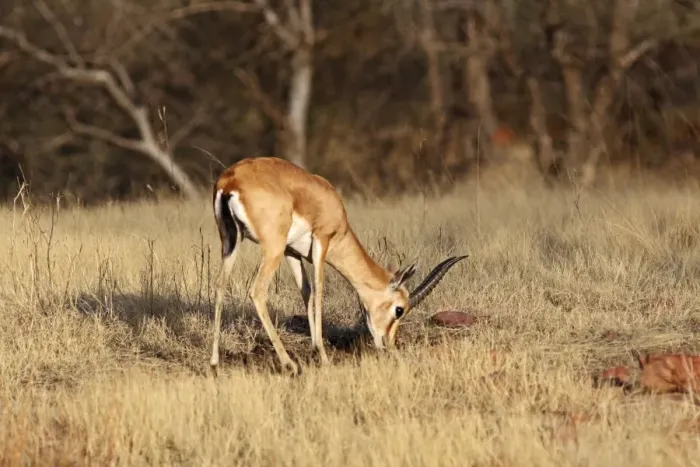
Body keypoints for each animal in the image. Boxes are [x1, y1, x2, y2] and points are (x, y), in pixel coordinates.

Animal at [210, 157, 467, 375]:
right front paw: (324, 357)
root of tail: (231, 180)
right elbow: (319, 291)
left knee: (220, 285)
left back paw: (214, 363)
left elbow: (307, 292)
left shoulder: (292, 252)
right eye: (399, 309)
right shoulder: (321, 241)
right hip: (272, 248)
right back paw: (290, 364)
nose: (388, 344)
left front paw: (316, 348)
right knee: (257, 291)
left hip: (230, 242)